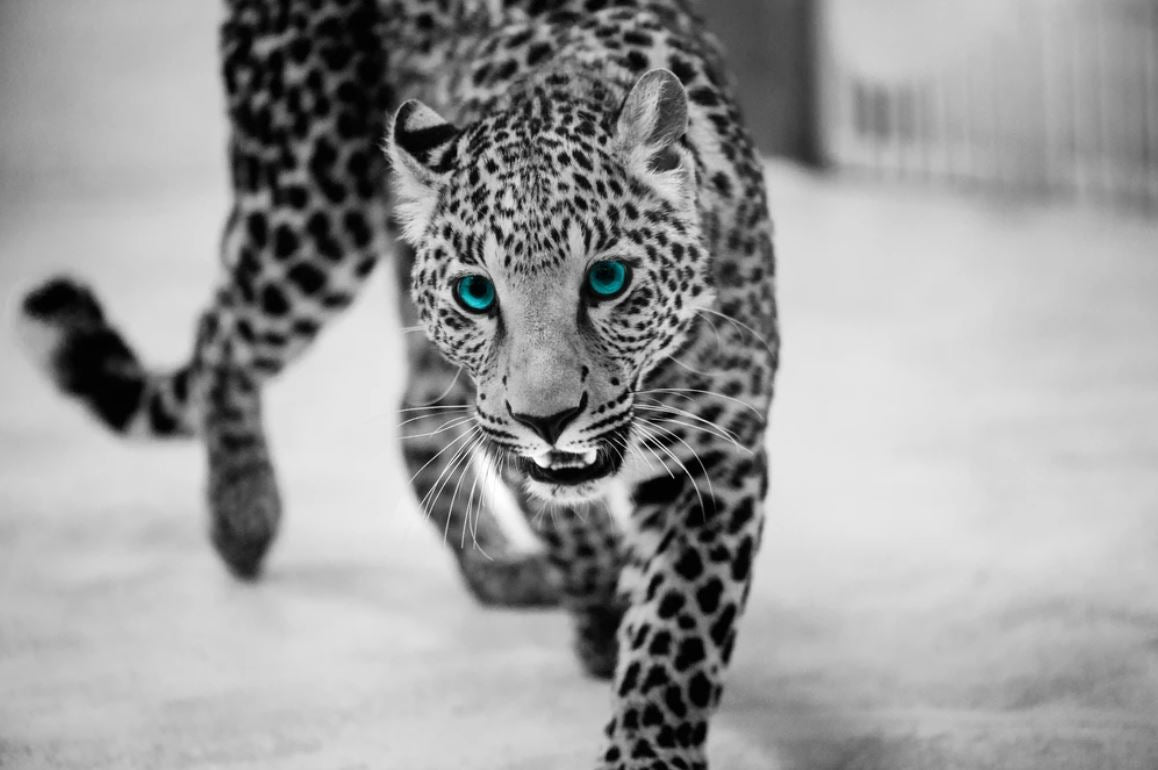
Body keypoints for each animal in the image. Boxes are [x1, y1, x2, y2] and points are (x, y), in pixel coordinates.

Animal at [16, 1, 779, 767]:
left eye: (609, 279)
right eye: (477, 293)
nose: (548, 420)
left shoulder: (718, 451)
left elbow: (680, 634)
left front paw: (649, 743)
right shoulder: (504, 418)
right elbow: (567, 522)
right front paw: (601, 617)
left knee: (412, 417)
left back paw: (497, 568)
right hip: (308, 205)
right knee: (221, 336)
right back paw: (243, 514)